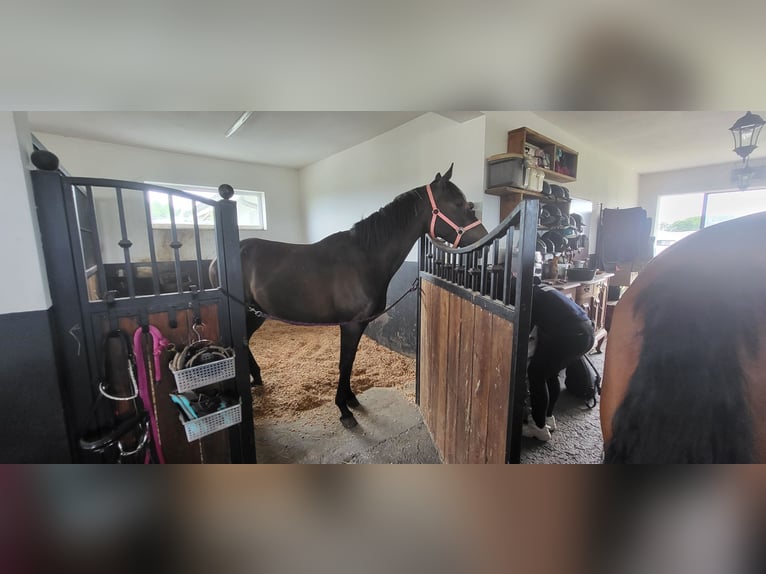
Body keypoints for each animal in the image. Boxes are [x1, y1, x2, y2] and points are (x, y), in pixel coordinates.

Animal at [212, 165, 486, 428]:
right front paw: (344, 410)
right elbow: (344, 363)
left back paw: (257, 378)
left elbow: (351, 361)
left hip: (256, 313)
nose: (482, 240)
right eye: (460, 204)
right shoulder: (350, 325)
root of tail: (220, 257)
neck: (364, 258)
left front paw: (351, 399)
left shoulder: (360, 324)